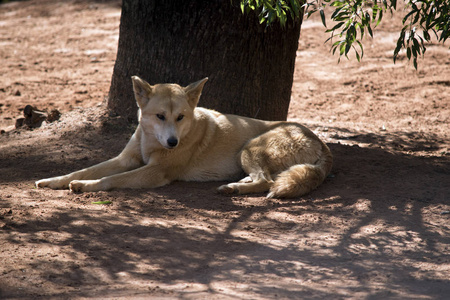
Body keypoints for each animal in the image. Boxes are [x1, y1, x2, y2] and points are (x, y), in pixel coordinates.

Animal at [37, 76, 332, 198]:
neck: (150, 142)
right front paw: (54, 181)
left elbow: (109, 180)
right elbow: (83, 169)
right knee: (265, 178)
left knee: (267, 182)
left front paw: (84, 186)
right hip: (248, 155)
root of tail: (321, 141)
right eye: (160, 116)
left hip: (250, 148)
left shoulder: (155, 172)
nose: (173, 143)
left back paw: (234, 189)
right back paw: (236, 183)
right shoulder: (125, 160)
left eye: (180, 117)